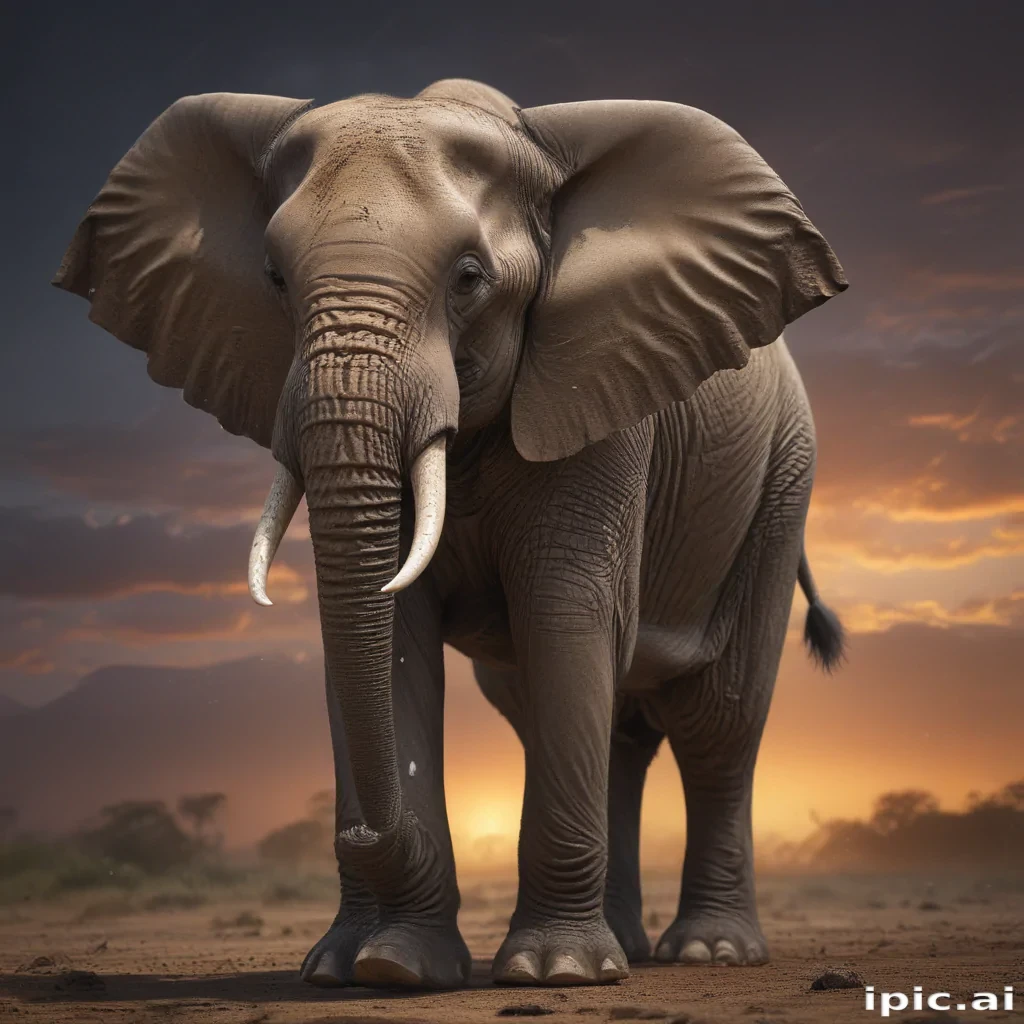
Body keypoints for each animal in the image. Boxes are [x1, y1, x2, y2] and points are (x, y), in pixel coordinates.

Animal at [54, 77, 847, 990]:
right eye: (275, 279)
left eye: (469, 279)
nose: (358, 828)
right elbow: (394, 631)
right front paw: (378, 967)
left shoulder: (598, 397)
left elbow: (565, 615)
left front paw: (552, 973)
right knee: (594, 723)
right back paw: (628, 947)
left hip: (782, 483)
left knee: (718, 721)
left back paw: (704, 951)